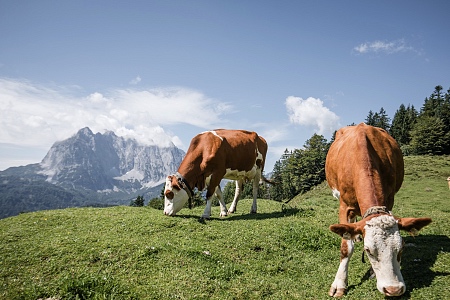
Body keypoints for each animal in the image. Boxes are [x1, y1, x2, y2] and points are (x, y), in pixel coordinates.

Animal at [324, 123, 432, 298]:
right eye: (368, 251)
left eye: (402, 247)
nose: (394, 290)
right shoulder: (344, 206)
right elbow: (346, 247)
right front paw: (339, 284)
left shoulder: (389, 199)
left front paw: (372, 272)